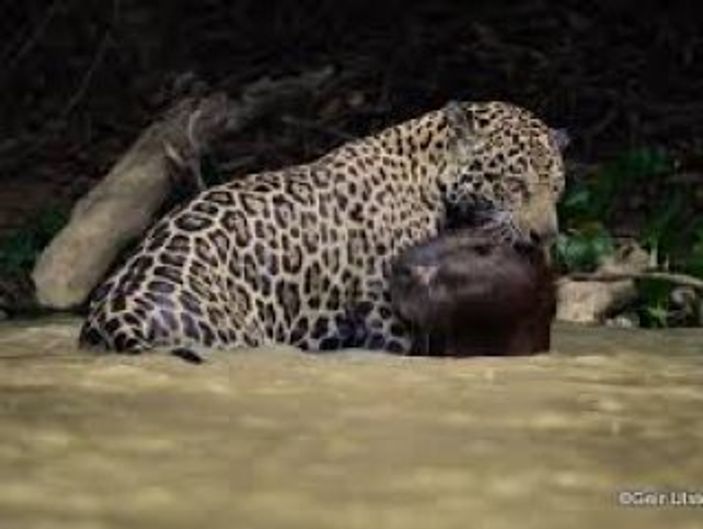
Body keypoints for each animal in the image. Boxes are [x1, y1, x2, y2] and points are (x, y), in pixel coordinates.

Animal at [78, 100, 567, 356]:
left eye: (558, 186)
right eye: (515, 183)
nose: (545, 236)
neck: (429, 178)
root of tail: (115, 315)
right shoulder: (388, 321)